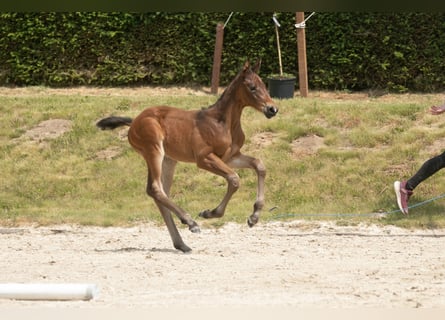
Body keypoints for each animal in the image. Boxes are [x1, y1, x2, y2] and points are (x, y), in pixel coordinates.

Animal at [97, 60, 278, 252]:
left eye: (265, 85)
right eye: (252, 87)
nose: (272, 109)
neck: (223, 123)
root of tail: (133, 122)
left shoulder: (230, 157)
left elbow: (259, 165)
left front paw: (254, 217)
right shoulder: (204, 158)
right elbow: (234, 179)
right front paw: (210, 213)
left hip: (169, 160)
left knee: (160, 192)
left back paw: (181, 244)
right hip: (154, 151)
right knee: (155, 188)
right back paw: (190, 223)